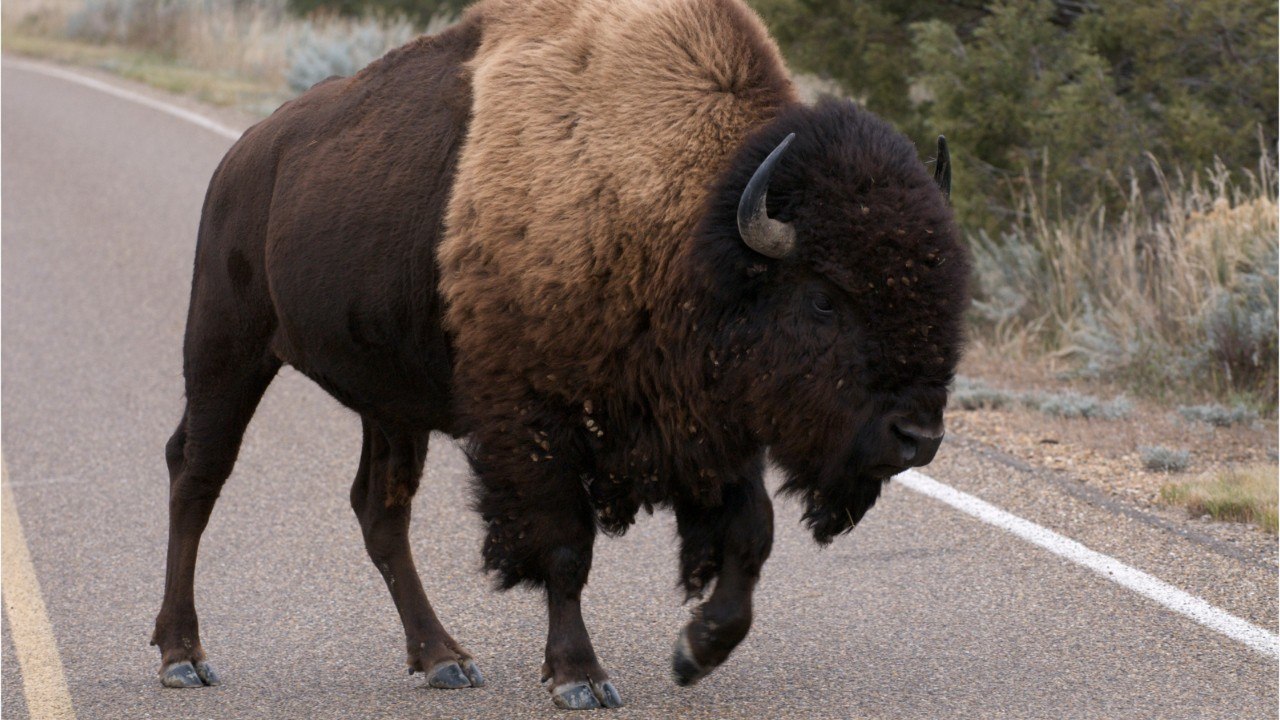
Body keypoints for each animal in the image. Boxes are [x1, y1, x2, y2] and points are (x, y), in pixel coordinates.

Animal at [152, 0, 970, 710]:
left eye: (947, 287)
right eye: (825, 298)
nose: (918, 436)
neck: (688, 224)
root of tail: (245, 155)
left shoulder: (705, 420)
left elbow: (752, 533)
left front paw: (695, 650)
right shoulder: (537, 425)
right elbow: (566, 548)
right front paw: (581, 677)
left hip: (390, 401)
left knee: (379, 511)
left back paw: (444, 658)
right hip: (227, 349)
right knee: (197, 474)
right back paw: (183, 656)